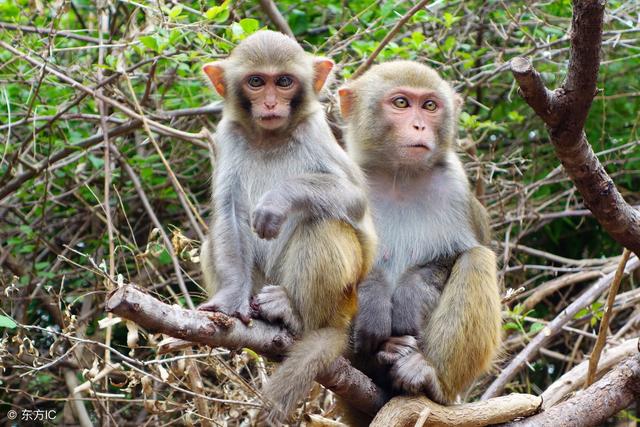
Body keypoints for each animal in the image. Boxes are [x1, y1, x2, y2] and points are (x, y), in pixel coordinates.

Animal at [200, 30, 378, 424]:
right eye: (256, 82)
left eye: (283, 82)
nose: (269, 103)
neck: (271, 137)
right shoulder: (229, 136)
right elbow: (229, 212)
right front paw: (229, 299)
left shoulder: (316, 132)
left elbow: (356, 199)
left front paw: (279, 199)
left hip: (338, 301)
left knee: (324, 223)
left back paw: (294, 316)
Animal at [338, 60, 502, 418]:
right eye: (401, 103)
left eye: (429, 106)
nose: (419, 126)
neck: (400, 177)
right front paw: (372, 296)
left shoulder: (456, 189)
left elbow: (456, 254)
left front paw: (412, 293)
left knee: (477, 259)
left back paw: (427, 374)